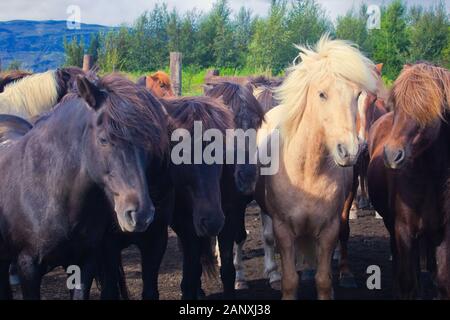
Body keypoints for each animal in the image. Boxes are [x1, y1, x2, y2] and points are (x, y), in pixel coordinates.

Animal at [255, 35, 378, 300]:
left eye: (357, 95)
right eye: (322, 94)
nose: (349, 150)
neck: (306, 171)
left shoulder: (329, 228)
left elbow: (323, 280)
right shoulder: (283, 229)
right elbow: (290, 280)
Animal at [370, 63, 450, 300]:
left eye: (426, 108)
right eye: (396, 105)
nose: (391, 155)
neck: (430, 177)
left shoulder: (443, 233)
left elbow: (443, 279)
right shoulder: (403, 229)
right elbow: (407, 280)